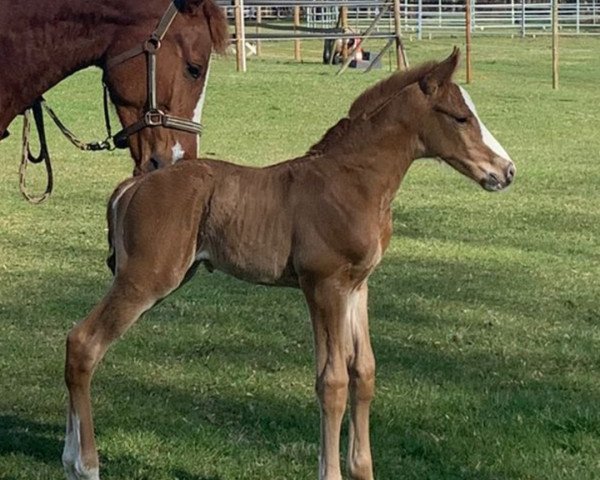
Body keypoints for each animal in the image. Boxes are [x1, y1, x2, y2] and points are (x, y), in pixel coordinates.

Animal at [62, 49, 516, 480]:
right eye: (460, 117)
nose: (507, 171)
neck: (353, 181)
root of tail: (132, 185)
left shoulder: (357, 286)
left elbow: (363, 372)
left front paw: (362, 468)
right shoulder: (324, 286)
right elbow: (332, 381)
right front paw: (330, 472)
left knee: (77, 344)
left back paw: (69, 458)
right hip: (145, 280)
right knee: (84, 343)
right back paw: (86, 464)